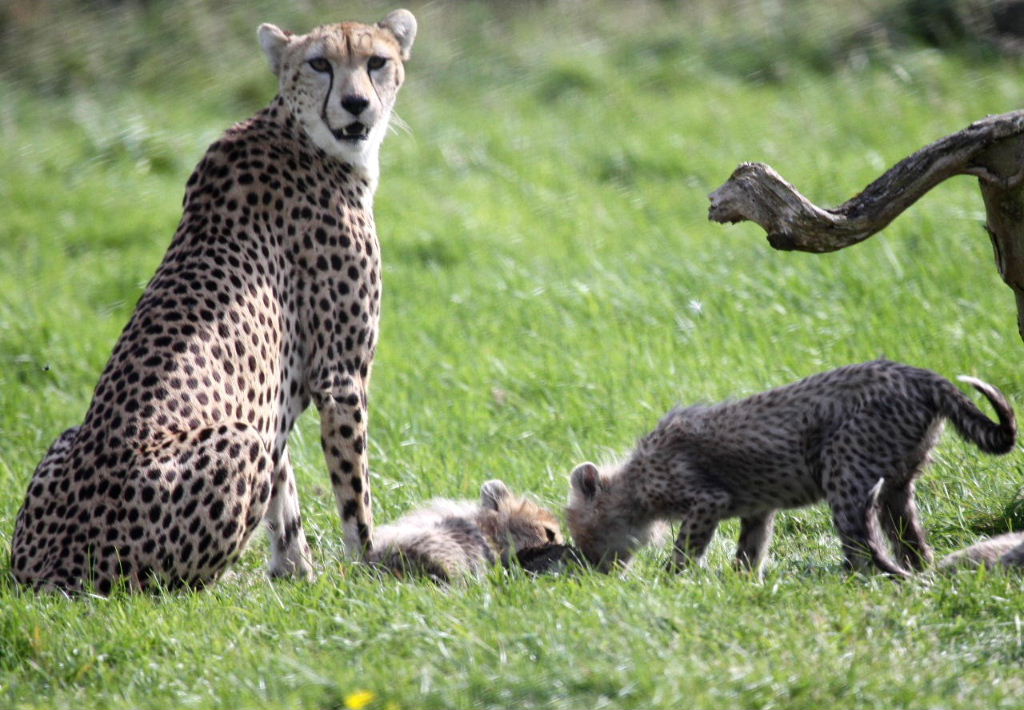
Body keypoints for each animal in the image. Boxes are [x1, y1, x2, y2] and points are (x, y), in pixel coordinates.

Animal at [10, 9, 417, 594]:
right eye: (320, 64)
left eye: (377, 62)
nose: (357, 103)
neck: (303, 136)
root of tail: (46, 573)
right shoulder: (340, 378)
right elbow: (353, 489)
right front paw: (369, 570)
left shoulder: (275, 393)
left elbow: (285, 492)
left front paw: (297, 575)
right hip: (235, 443)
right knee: (168, 588)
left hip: (69, 440)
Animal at [565, 359, 1016, 577]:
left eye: (582, 530)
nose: (592, 568)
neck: (632, 485)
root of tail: (921, 375)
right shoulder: (757, 509)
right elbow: (750, 549)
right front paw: (742, 585)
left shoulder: (708, 500)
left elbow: (686, 550)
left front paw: (672, 581)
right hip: (897, 483)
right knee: (910, 539)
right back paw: (918, 571)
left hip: (845, 473)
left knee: (860, 542)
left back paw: (856, 583)